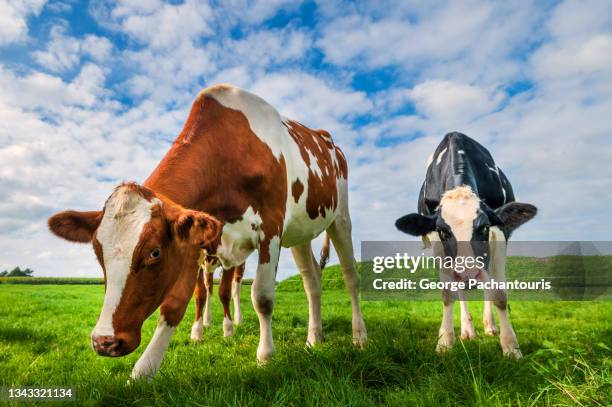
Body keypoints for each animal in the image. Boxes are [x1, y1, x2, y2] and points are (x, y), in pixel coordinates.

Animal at [47, 84, 366, 380]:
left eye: (154, 252)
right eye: (97, 252)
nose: (105, 341)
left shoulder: (271, 228)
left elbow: (262, 296)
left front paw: (265, 355)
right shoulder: (194, 240)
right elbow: (181, 300)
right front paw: (144, 370)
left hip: (341, 217)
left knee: (350, 276)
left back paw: (359, 335)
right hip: (300, 233)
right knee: (312, 280)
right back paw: (314, 337)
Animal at [396, 132, 536, 358]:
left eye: (484, 228)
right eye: (444, 231)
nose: (469, 275)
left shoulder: (499, 232)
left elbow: (499, 294)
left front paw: (510, 346)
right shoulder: (436, 239)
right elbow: (447, 293)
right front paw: (445, 341)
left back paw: (490, 326)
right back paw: (467, 329)